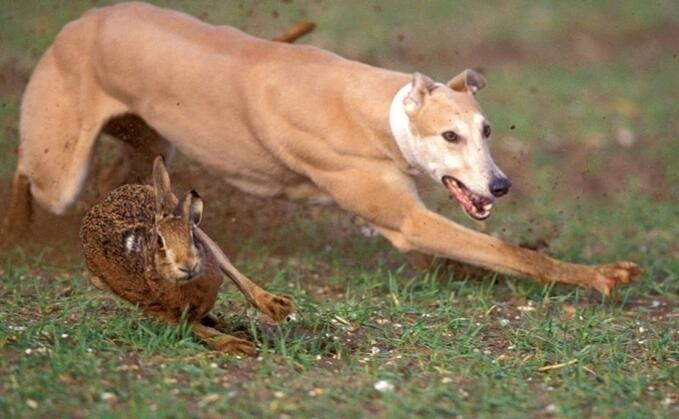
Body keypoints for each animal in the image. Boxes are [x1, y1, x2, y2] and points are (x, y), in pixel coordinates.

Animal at [81, 156, 294, 355]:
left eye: (190, 235)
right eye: (159, 242)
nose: (187, 265)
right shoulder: (160, 309)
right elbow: (195, 328)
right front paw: (238, 346)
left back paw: (278, 306)